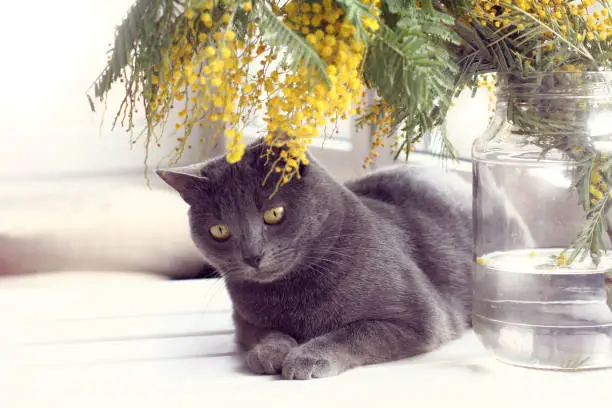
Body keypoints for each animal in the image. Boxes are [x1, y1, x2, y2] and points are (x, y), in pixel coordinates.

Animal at [155, 138, 494, 380]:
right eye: (219, 230)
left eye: (274, 214)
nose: (253, 255)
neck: (292, 293)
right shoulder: (244, 318)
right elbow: (265, 331)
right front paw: (270, 352)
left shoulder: (421, 318)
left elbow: (356, 332)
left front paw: (307, 356)